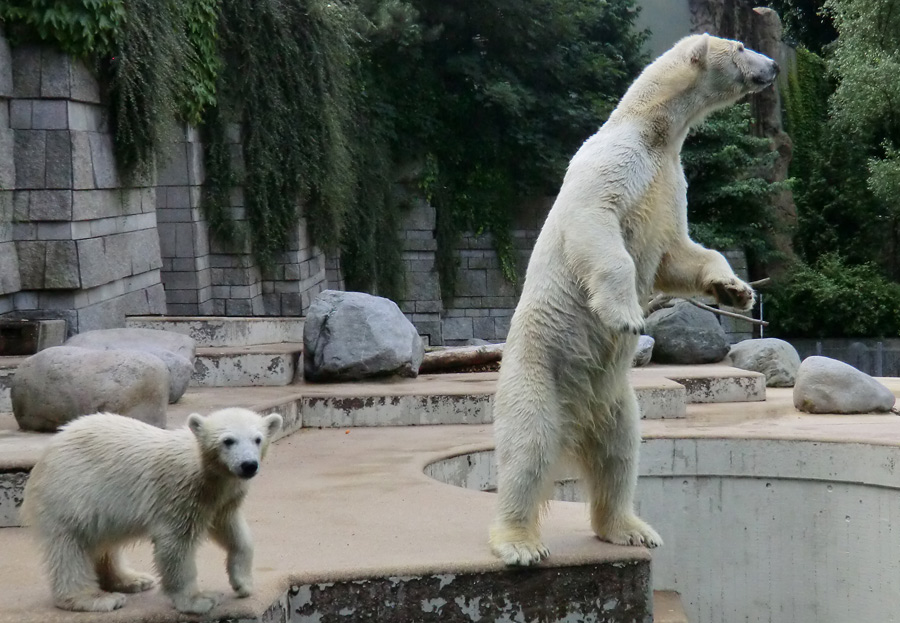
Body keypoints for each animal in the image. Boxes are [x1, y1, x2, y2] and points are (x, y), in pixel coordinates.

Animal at [488, 34, 776, 564]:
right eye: (741, 46)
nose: (772, 67)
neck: (652, 129)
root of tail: (575, 422)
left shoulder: (670, 183)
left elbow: (680, 254)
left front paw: (735, 290)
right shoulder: (611, 162)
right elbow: (596, 222)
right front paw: (625, 317)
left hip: (617, 398)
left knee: (621, 453)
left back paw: (629, 527)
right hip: (536, 371)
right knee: (527, 446)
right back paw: (519, 541)